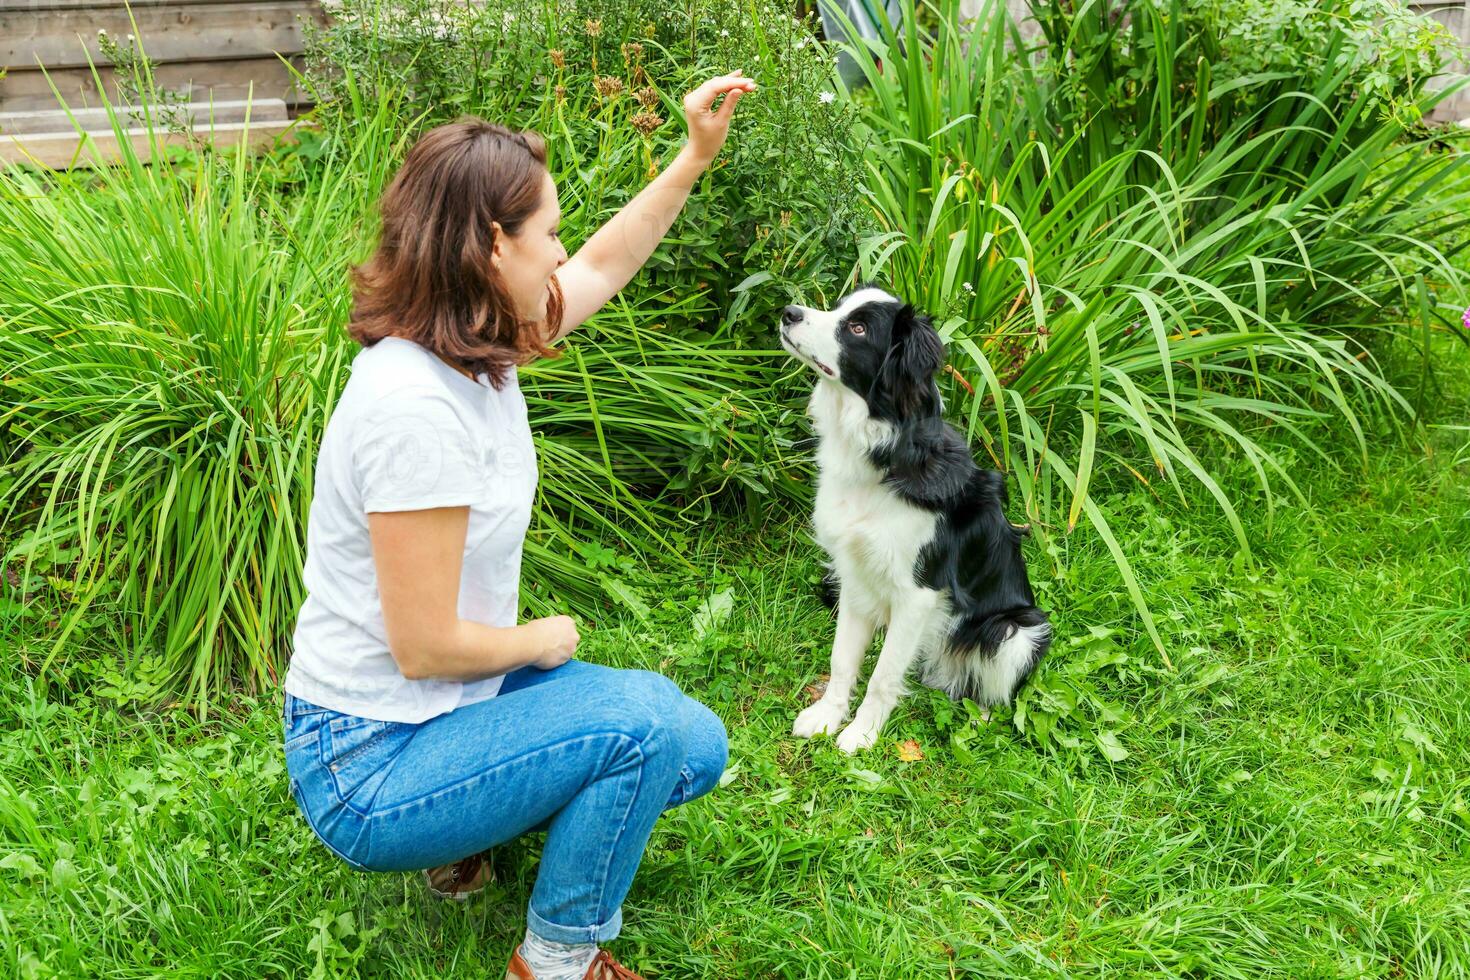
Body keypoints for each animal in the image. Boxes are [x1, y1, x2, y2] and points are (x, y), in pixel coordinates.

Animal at [776, 287, 1052, 758]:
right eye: (838, 307)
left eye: (858, 328)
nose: (788, 312)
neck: (881, 453)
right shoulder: (854, 575)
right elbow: (843, 658)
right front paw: (828, 716)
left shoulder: (918, 595)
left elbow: (883, 675)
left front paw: (861, 735)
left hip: (1017, 631)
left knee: (990, 690)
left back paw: (976, 718)